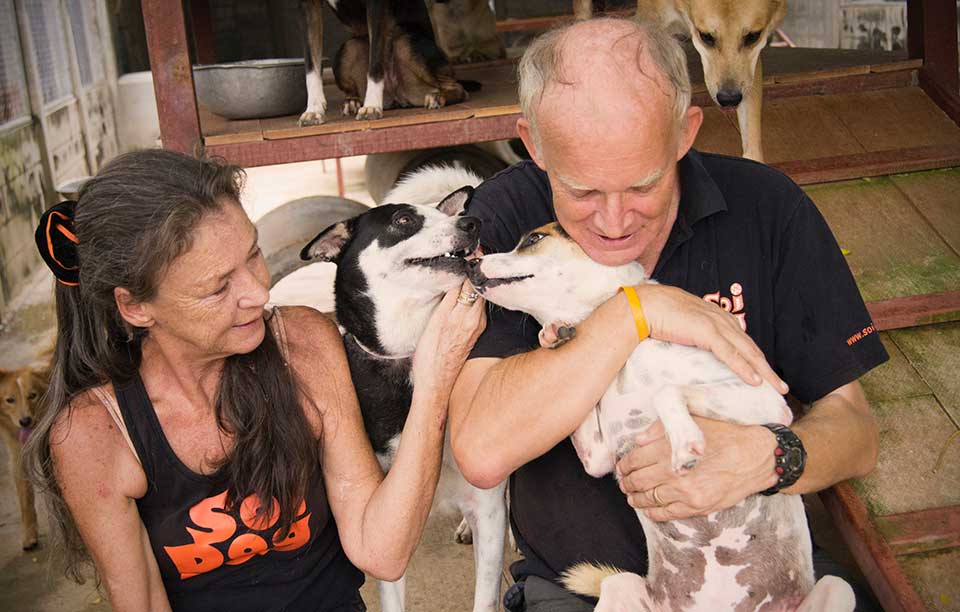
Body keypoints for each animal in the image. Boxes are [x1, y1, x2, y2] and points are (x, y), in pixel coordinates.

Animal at [304, 166, 506, 612]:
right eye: (403, 220)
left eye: (444, 215)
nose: (471, 222)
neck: (413, 352)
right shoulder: (388, 520)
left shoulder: (489, 512)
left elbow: (485, 596)